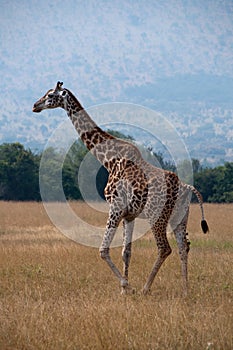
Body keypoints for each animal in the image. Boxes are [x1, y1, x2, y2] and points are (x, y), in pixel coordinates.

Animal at [32, 82, 209, 296]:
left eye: (50, 95)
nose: (35, 105)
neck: (109, 160)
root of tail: (187, 188)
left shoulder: (115, 207)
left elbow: (103, 250)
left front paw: (127, 286)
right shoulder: (129, 214)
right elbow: (126, 252)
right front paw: (124, 289)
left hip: (157, 215)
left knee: (164, 248)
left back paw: (145, 288)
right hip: (179, 217)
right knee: (184, 247)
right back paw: (185, 290)